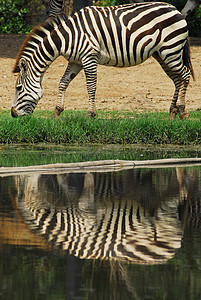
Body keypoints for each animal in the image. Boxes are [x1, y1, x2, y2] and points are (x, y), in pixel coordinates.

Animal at [11, 2, 195, 119]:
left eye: (18, 88)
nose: (12, 114)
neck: (66, 37)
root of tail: (175, 9)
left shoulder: (89, 57)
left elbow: (91, 86)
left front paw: (91, 115)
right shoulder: (76, 61)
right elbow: (63, 82)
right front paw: (57, 112)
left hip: (170, 50)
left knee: (185, 75)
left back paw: (182, 111)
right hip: (162, 54)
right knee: (177, 80)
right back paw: (172, 112)